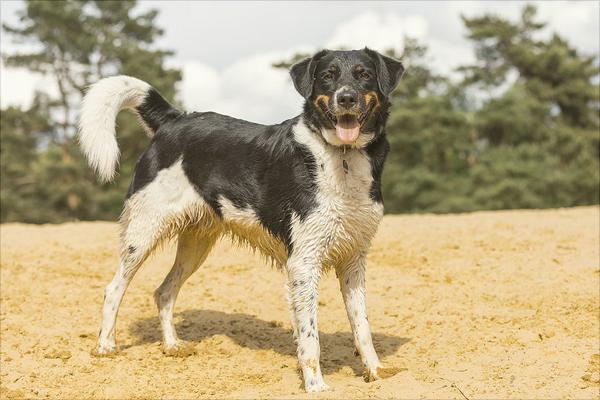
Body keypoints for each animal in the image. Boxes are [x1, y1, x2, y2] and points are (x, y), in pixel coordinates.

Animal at [76, 47, 404, 390]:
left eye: (364, 74)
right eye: (327, 76)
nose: (346, 98)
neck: (342, 156)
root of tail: (174, 121)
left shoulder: (354, 259)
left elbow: (362, 326)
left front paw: (376, 371)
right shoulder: (303, 263)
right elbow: (310, 337)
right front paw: (316, 387)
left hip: (197, 242)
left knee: (164, 291)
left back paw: (172, 345)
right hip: (144, 230)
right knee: (114, 288)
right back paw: (105, 346)